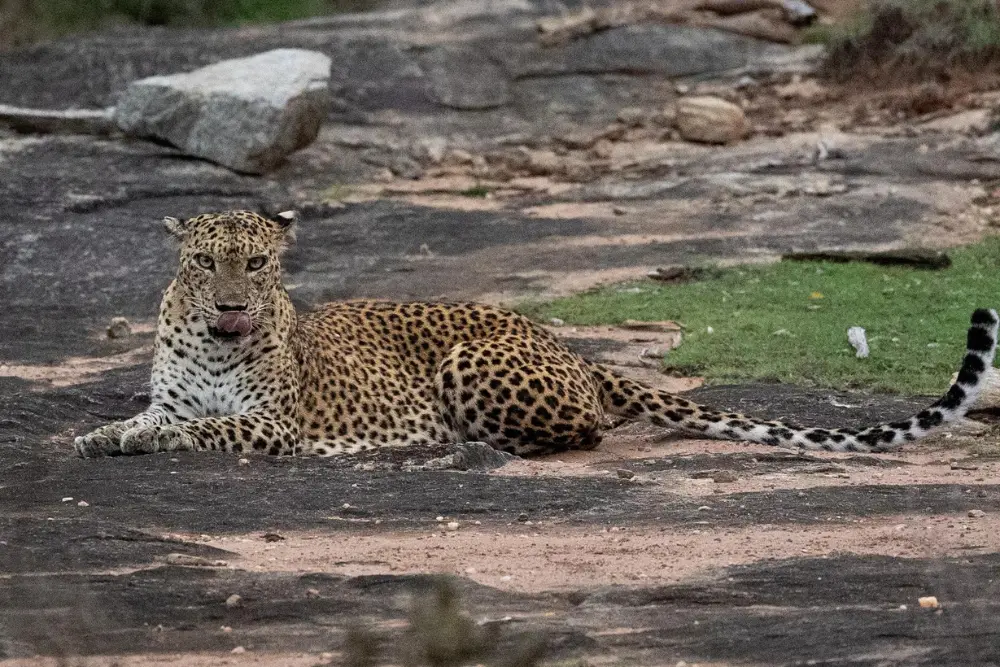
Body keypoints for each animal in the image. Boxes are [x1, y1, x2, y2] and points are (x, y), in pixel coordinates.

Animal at [76, 210, 1000, 460]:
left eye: (259, 264)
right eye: (206, 262)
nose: (234, 307)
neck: (213, 342)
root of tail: (568, 345)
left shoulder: (274, 423)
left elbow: (209, 428)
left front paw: (146, 444)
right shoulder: (172, 393)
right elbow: (147, 417)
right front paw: (100, 435)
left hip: (471, 360)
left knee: (585, 429)